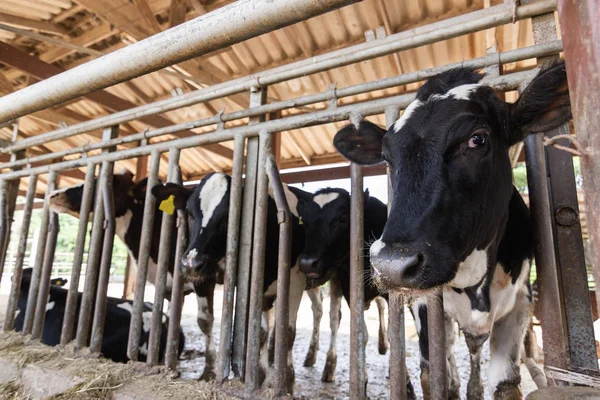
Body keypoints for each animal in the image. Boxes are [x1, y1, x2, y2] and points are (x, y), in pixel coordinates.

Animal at [152, 171, 324, 390]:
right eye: (190, 213)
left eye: (228, 217)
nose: (191, 262)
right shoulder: (209, 277)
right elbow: (211, 322)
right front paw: (213, 372)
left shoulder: (294, 280)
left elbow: (287, 332)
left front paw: (286, 382)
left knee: (320, 309)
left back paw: (315, 360)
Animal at [332, 61, 572, 396]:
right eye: (386, 157)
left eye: (478, 139)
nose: (391, 265)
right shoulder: (425, 305)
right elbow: (435, 377)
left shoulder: (520, 304)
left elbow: (506, 383)